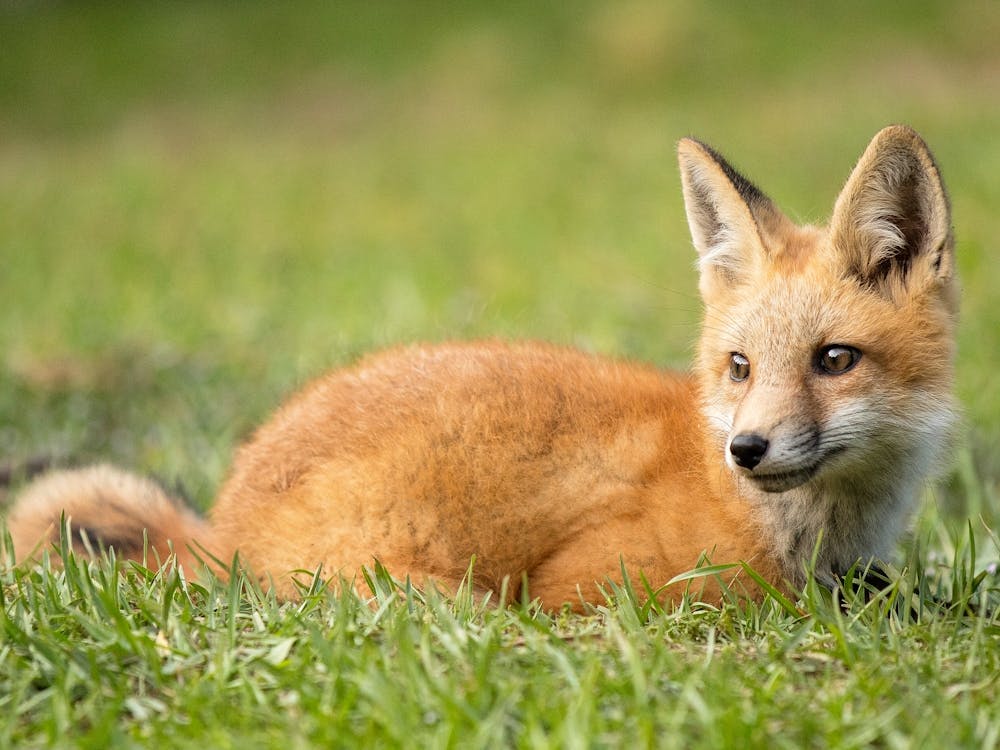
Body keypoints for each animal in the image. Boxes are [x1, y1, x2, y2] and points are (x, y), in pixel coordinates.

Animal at [3, 125, 958, 609]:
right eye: (740, 367)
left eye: (834, 360)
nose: (747, 450)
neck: (812, 537)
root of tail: (222, 526)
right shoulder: (597, 587)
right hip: (446, 603)